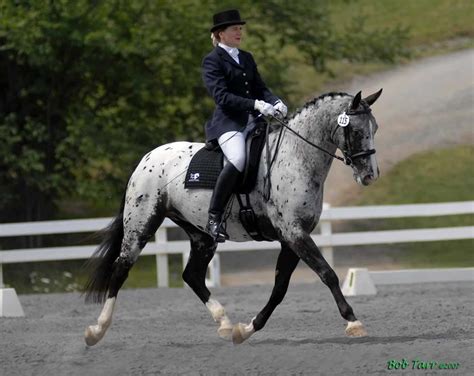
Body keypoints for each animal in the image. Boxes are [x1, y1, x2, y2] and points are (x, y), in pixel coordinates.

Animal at [83, 89, 384, 346]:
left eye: (375, 129)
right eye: (356, 130)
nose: (370, 176)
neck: (295, 158)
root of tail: (146, 158)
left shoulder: (292, 238)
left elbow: (279, 288)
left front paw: (246, 329)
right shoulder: (294, 233)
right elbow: (328, 274)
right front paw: (353, 322)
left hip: (201, 234)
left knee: (192, 275)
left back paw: (225, 323)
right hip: (142, 224)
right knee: (121, 269)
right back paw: (97, 330)